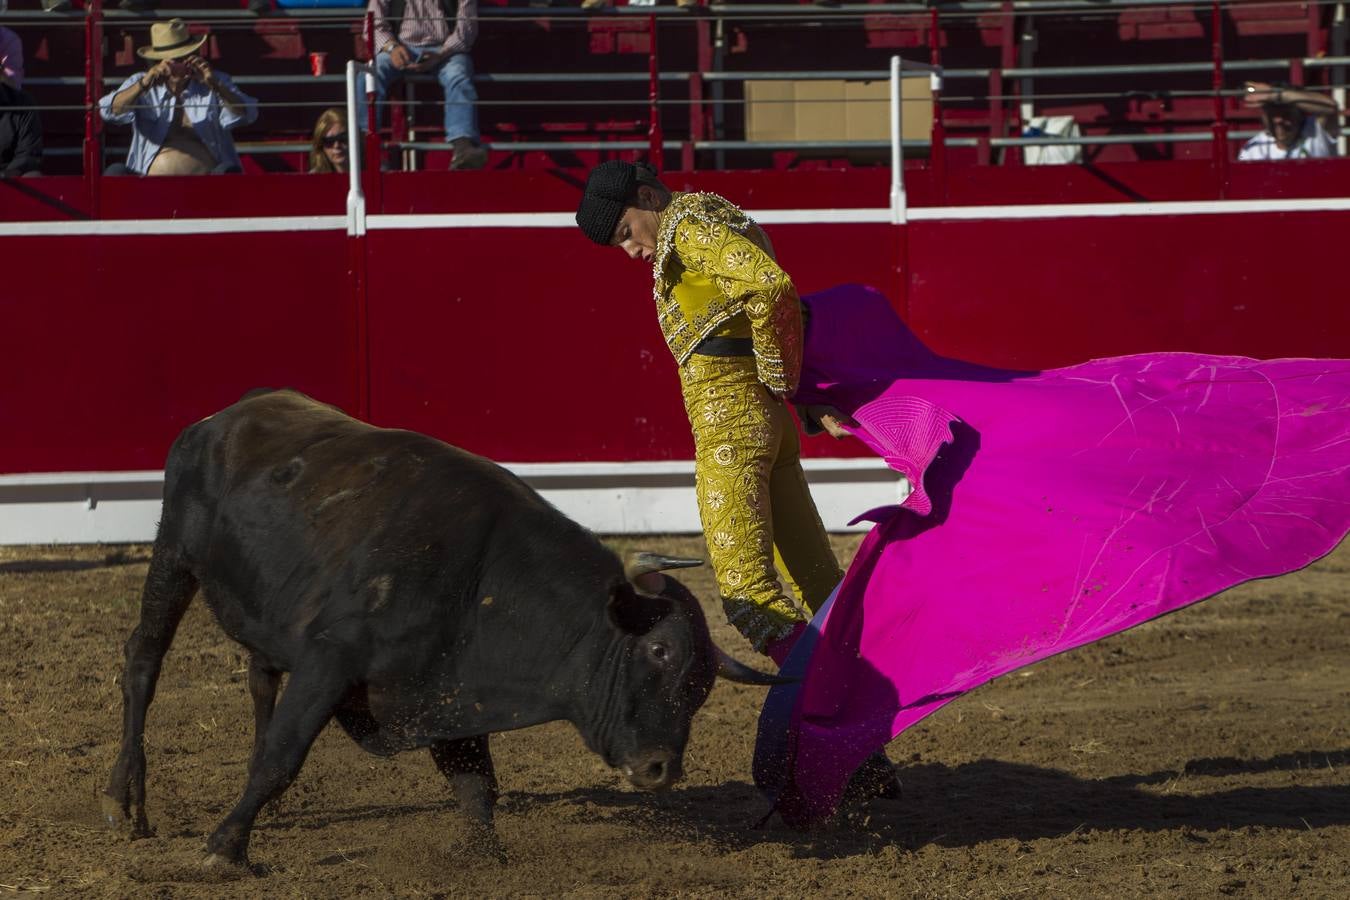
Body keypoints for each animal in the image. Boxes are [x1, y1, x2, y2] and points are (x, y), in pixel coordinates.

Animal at [102, 388, 783, 863]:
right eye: (660, 653)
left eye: (703, 687)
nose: (662, 769)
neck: (480, 576)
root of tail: (226, 415)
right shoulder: (331, 658)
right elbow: (283, 754)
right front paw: (225, 847)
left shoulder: (447, 688)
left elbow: (476, 784)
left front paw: (483, 854)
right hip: (173, 554)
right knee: (143, 660)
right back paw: (123, 799)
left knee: (259, 678)